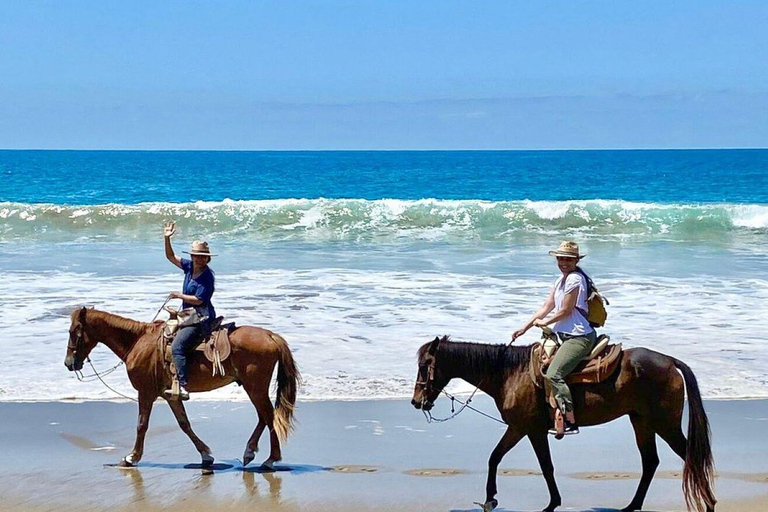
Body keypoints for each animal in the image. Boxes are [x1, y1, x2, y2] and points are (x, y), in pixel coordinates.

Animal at [64, 306, 298, 470]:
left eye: (74, 331)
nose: (68, 363)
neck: (138, 342)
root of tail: (270, 335)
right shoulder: (170, 396)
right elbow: (184, 424)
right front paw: (206, 455)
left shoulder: (145, 393)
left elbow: (141, 425)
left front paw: (131, 457)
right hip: (253, 387)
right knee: (263, 417)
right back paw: (250, 452)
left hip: (255, 387)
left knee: (268, 416)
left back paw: (270, 459)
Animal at [412, 336, 716, 512]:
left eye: (425, 365)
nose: (416, 401)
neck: (510, 373)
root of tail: (670, 361)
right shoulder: (517, 428)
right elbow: (494, 457)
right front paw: (490, 499)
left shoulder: (531, 430)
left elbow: (545, 466)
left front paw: (552, 504)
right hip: (641, 422)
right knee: (650, 461)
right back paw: (632, 507)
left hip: (664, 424)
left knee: (690, 456)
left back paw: (710, 503)